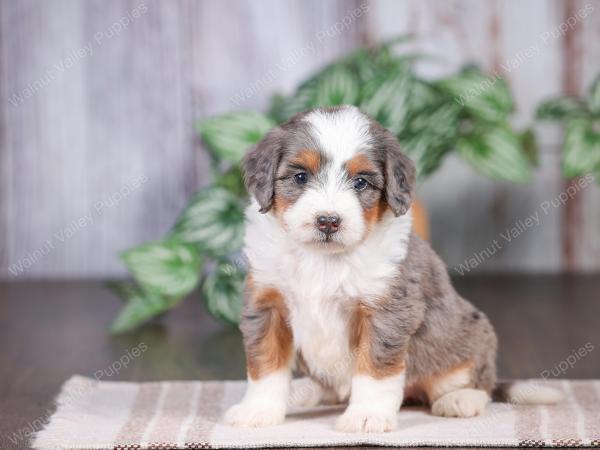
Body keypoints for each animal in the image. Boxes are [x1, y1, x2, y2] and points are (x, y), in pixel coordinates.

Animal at [223, 105, 560, 432]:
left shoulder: (386, 310)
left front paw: (366, 415)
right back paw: (307, 391)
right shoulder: (267, 303)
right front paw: (259, 410)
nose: (328, 221)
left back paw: (461, 399)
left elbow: (374, 368)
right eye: (301, 177)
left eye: (361, 182)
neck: (323, 258)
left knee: (479, 381)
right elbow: (266, 364)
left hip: (469, 337)